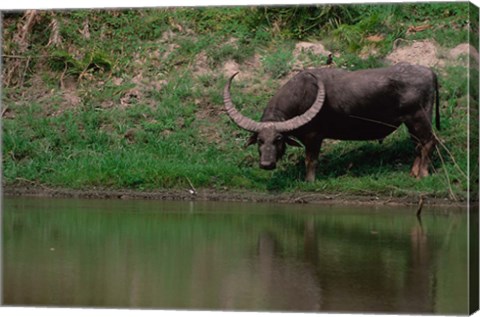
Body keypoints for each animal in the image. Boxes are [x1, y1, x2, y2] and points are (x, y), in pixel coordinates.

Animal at [223, 62, 440, 180]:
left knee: (429, 142)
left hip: (419, 118)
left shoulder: (314, 136)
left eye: (278, 139)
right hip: (410, 123)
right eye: (260, 140)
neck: (302, 95)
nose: (266, 164)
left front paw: (309, 180)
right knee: (418, 145)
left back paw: (423, 174)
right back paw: (413, 173)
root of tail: (430, 71)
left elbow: (310, 159)